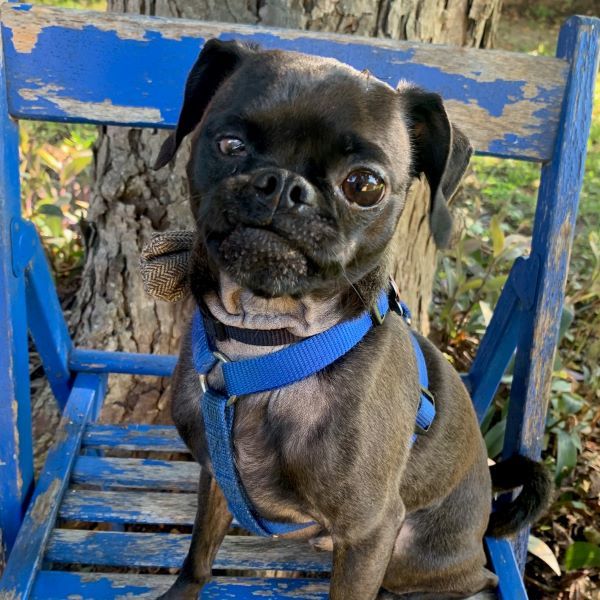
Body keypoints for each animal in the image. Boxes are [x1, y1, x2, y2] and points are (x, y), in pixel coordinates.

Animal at [152, 39, 552, 596]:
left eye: (364, 185)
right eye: (229, 144)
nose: (284, 184)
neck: (267, 345)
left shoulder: (369, 532)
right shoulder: (216, 478)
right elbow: (200, 551)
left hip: (410, 553)